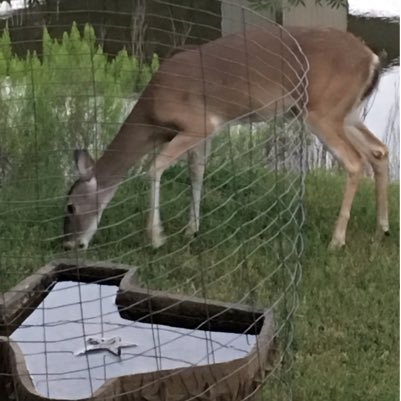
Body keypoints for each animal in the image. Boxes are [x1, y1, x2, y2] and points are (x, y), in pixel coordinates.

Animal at [62, 24, 388, 250]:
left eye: (71, 206)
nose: (68, 244)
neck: (153, 116)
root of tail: (372, 58)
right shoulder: (206, 131)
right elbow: (196, 171)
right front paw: (191, 229)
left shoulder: (198, 124)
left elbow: (154, 168)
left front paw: (155, 237)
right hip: (347, 113)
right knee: (379, 151)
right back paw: (381, 228)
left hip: (322, 112)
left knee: (355, 161)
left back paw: (337, 240)